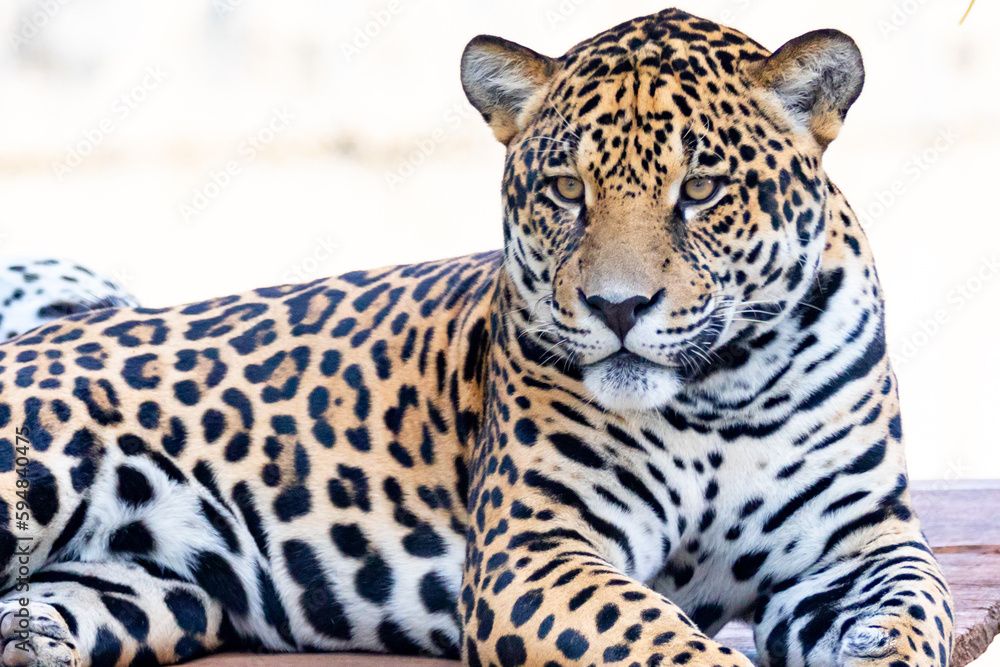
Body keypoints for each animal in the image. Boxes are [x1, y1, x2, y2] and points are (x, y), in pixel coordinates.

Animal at [0, 8, 953, 667]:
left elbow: (918, 609)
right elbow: (666, 640)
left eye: (702, 189)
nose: (617, 307)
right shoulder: (533, 551)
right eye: (566, 189)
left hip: (155, 589)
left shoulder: (860, 541)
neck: (723, 389)